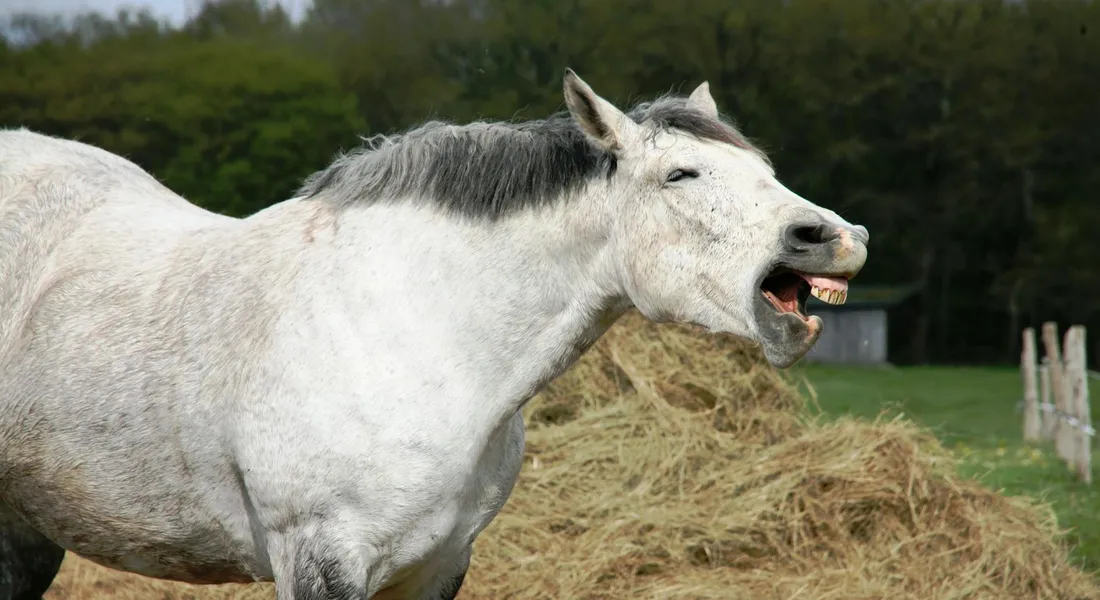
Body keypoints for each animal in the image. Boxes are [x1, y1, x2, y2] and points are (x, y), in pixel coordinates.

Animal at [0, 69, 868, 599]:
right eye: (679, 175)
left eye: (764, 172)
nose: (832, 238)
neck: (417, 333)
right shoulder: (319, 560)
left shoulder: (438, 564)